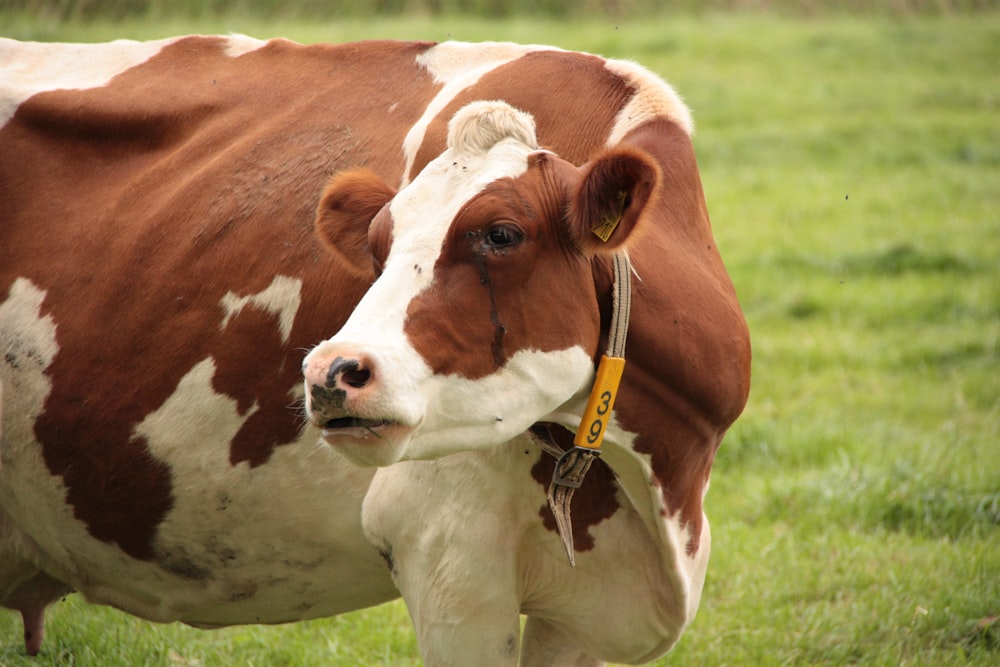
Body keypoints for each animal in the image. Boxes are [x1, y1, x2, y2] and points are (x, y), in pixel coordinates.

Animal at [1, 36, 752, 667]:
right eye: (377, 245)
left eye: (501, 233)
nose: (330, 373)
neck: (665, 485)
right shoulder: (450, 562)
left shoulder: (581, 613)